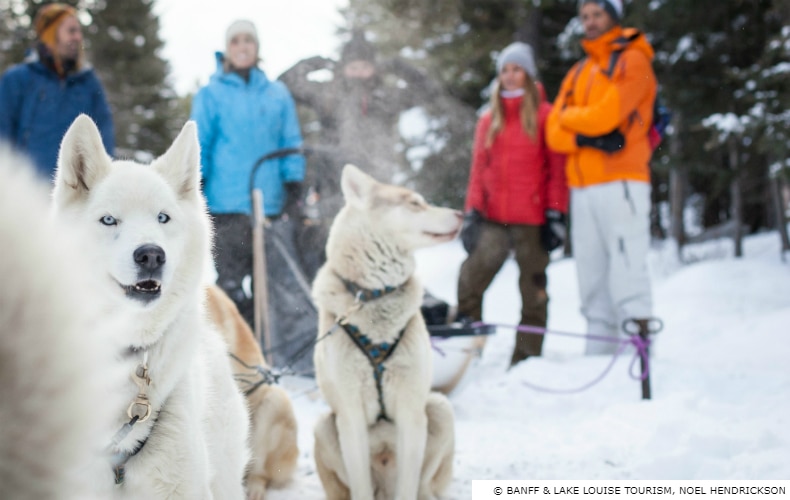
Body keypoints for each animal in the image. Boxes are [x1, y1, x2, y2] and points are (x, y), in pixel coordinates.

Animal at [310, 165, 458, 500]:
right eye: (415, 203)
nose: (460, 212)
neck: (374, 295)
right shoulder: (350, 416)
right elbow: (361, 486)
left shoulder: (411, 413)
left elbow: (408, 485)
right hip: (324, 424)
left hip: (440, 409)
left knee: (423, 486)